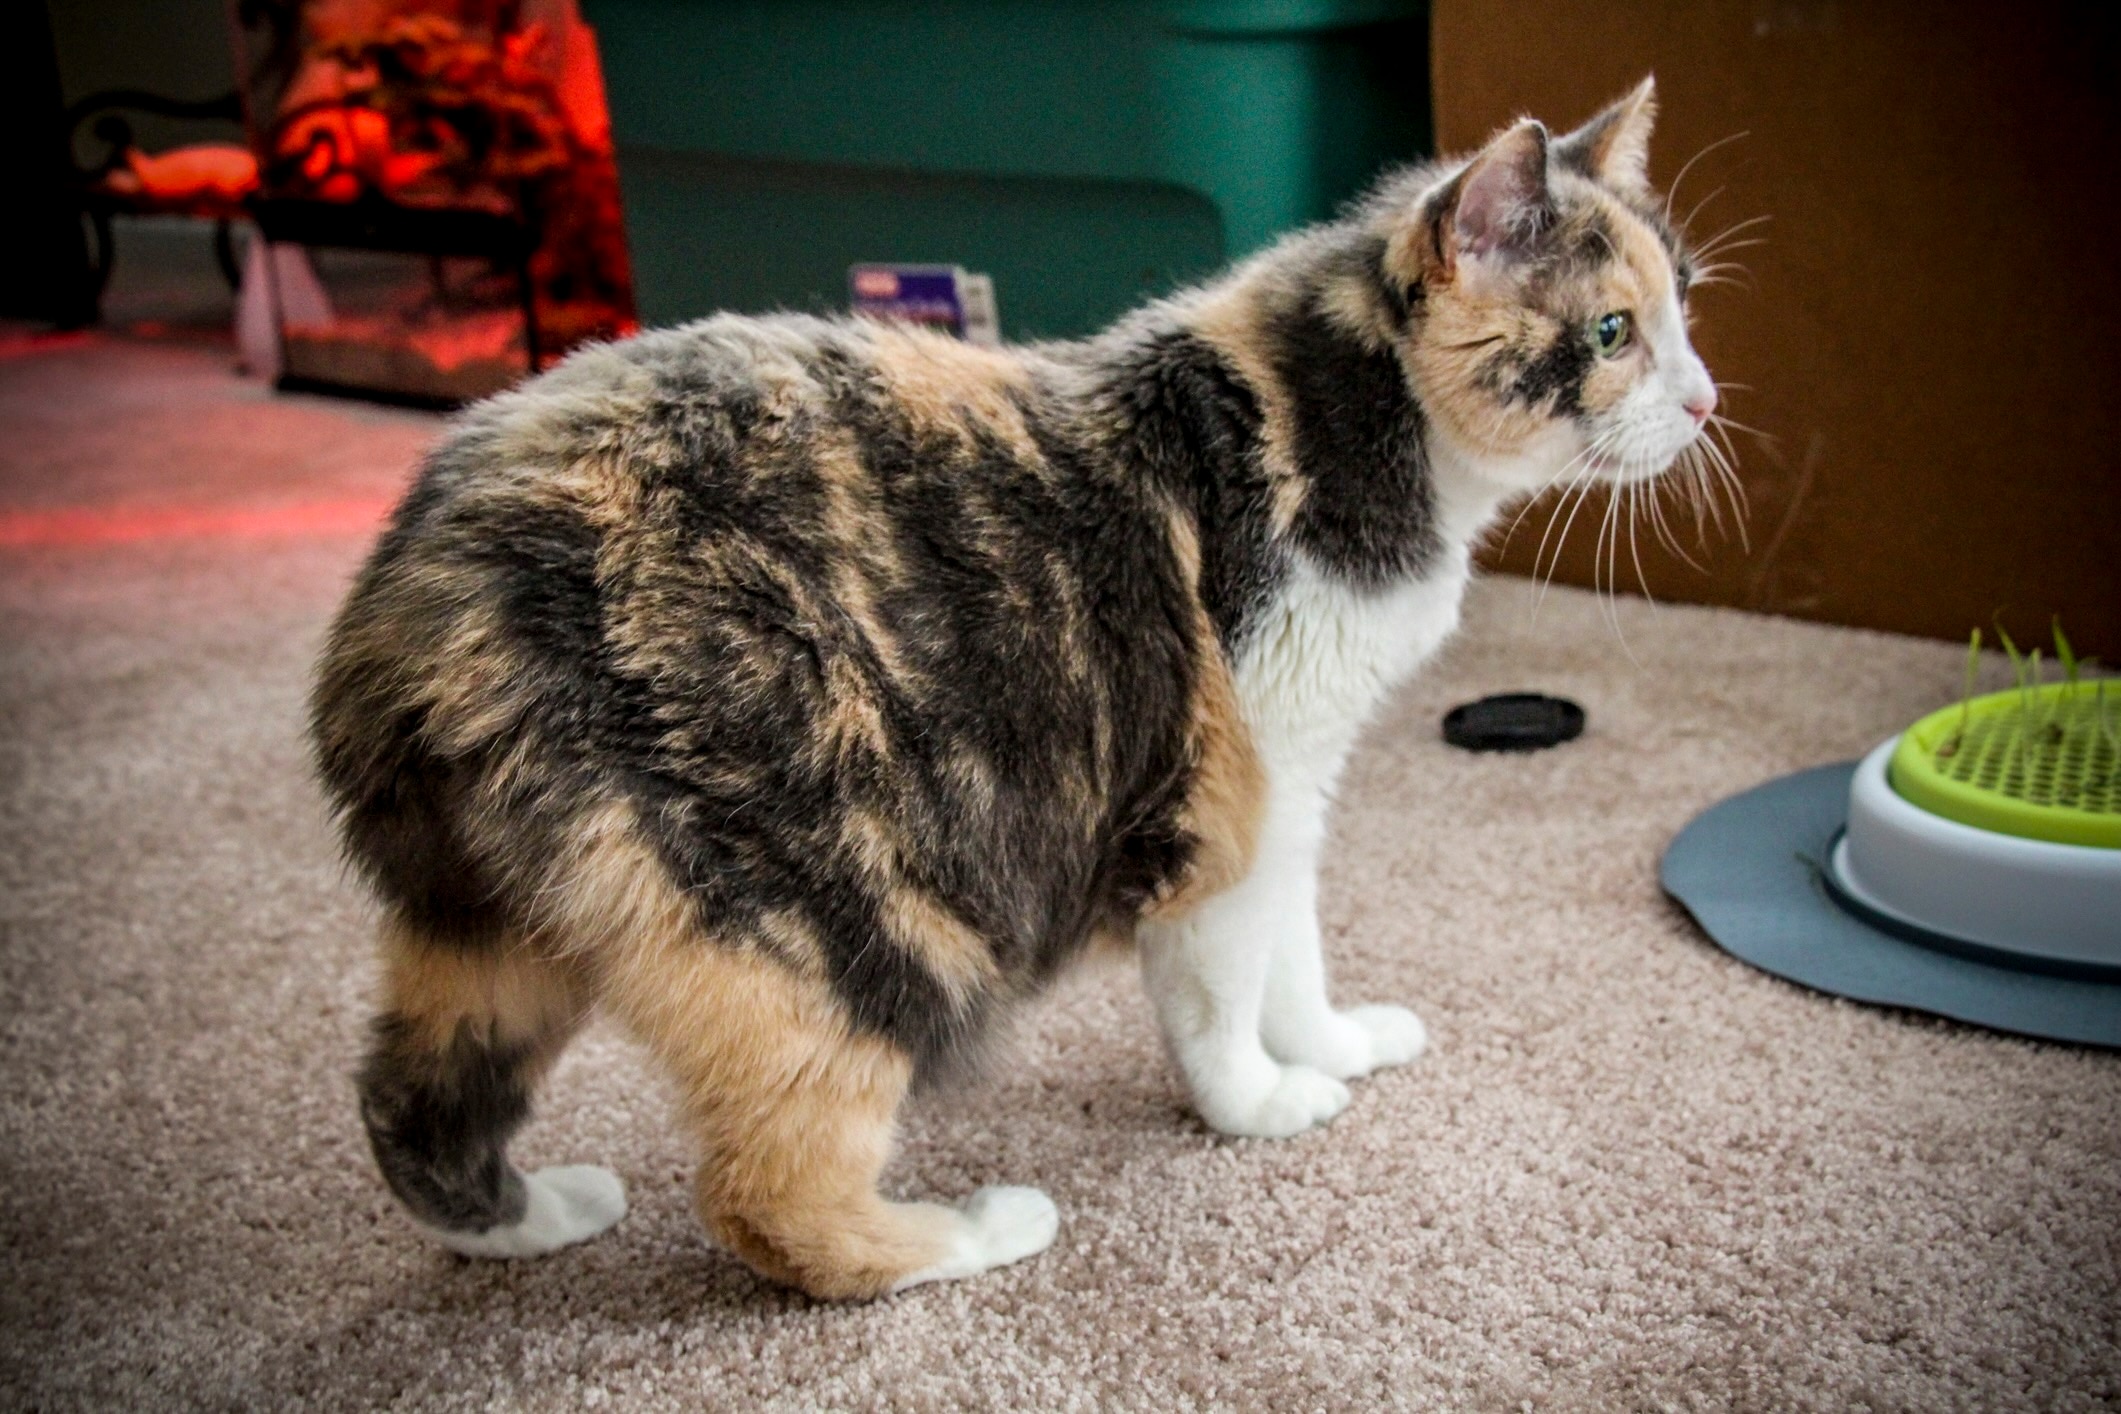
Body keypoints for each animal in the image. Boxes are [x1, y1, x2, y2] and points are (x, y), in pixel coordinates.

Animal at [307, 74, 1713, 1297]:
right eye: (1610, 332)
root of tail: (415, 584)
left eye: (1686, 310)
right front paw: (1263, 1104)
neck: (1360, 432)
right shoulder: (1230, 792)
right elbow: (1221, 986)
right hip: (830, 918)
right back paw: (978, 1229)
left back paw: (535, 1216)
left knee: (410, 1096)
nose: (1705, 399)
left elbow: (1297, 947)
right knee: (771, 1197)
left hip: (490, 921)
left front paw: (1333, 1042)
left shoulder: (1302, 782)